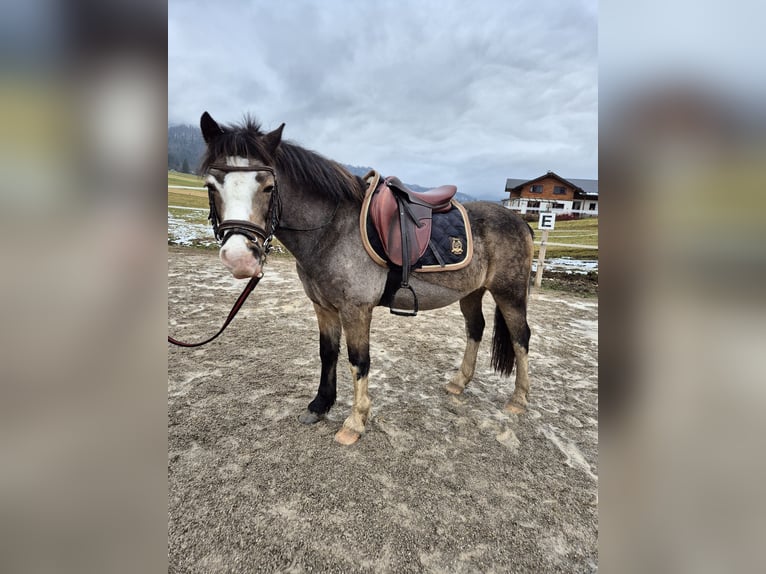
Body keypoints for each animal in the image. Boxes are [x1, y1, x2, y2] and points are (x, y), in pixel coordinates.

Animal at [195, 111, 536, 446]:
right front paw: (320, 405)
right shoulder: (324, 307)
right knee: (475, 329)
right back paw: (459, 382)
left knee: (521, 338)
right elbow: (327, 353)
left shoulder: (356, 310)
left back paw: (519, 400)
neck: (333, 229)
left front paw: (355, 422)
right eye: (211, 186)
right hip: (472, 292)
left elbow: (359, 361)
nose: (239, 258)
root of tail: (519, 220)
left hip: (509, 293)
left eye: (267, 187)